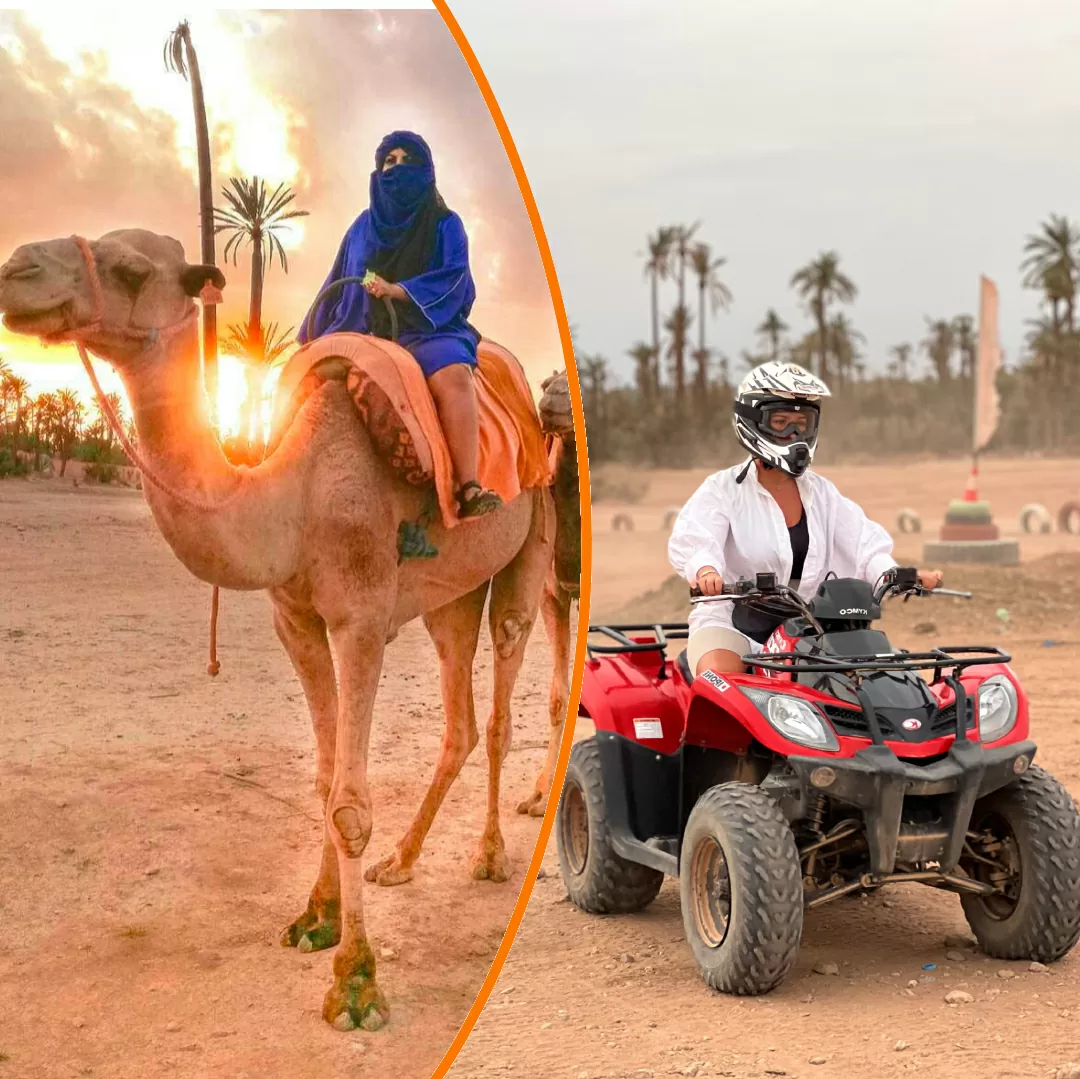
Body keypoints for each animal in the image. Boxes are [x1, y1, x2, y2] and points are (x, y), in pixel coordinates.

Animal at [0, 230, 557, 1036]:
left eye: (131, 269)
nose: (16, 271)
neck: (291, 492)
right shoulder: (295, 618)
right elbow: (323, 780)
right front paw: (316, 918)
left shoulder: (359, 617)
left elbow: (348, 803)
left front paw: (356, 983)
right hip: (449, 595)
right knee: (458, 716)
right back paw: (403, 861)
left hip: (530, 545)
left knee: (502, 703)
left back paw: (490, 856)